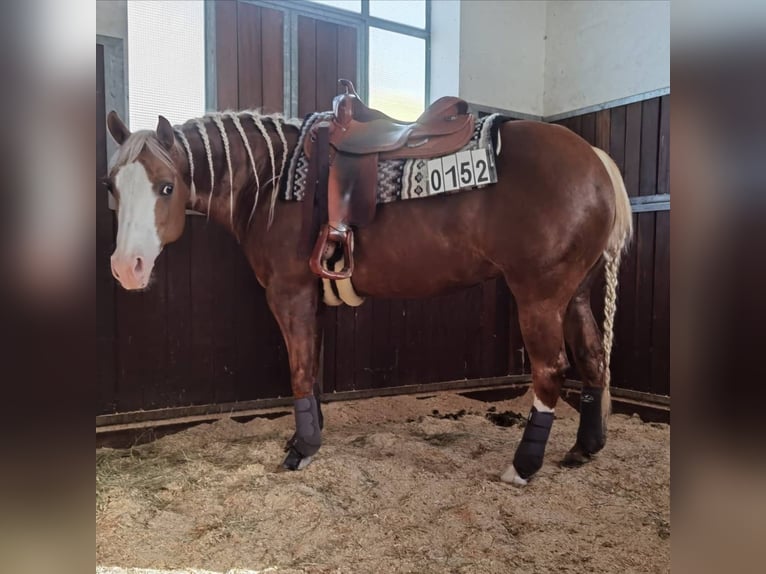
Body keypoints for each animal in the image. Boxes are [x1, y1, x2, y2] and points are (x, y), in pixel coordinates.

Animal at [108, 107, 636, 486]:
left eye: (166, 186)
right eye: (112, 188)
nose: (125, 267)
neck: (272, 180)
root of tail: (596, 158)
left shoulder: (289, 294)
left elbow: (298, 370)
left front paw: (300, 451)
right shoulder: (310, 300)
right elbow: (312, 370)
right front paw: (309, 436)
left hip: (540, 297)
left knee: (550, 371)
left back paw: (523, 467)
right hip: (574, 296)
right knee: (593, 358)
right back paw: (584, 448)